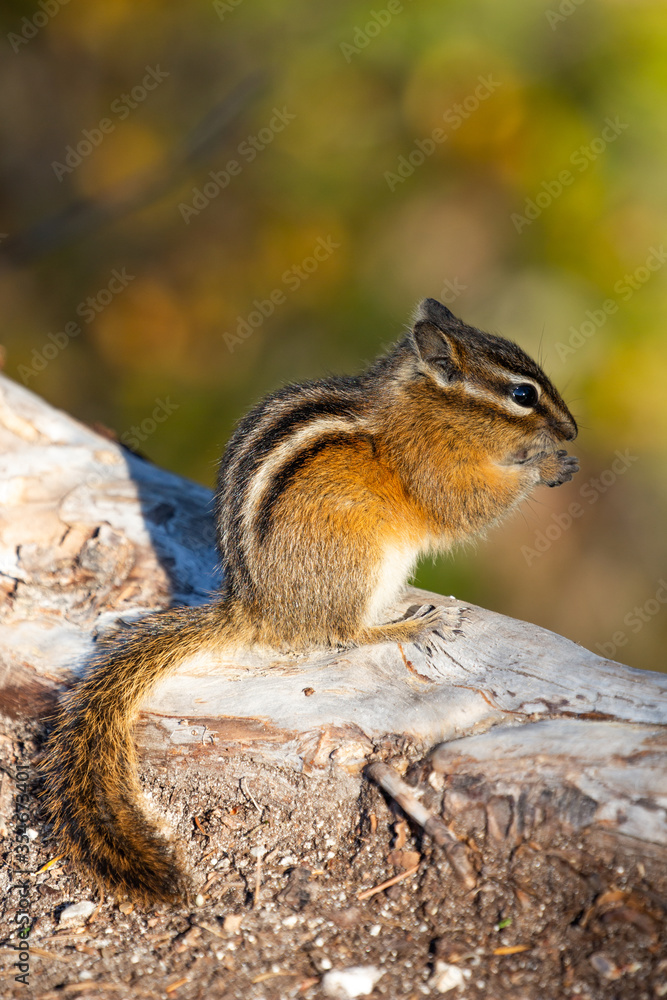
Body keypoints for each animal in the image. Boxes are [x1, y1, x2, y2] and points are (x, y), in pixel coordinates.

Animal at [40, 297, 578, 905]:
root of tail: (254, 609)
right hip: (356, 558)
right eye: (523, 395)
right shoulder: (435, 467)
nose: (573, 430)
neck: (428, 406)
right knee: (344, 632)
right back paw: (409, 625)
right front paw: (547, 463)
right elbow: (466, 507)